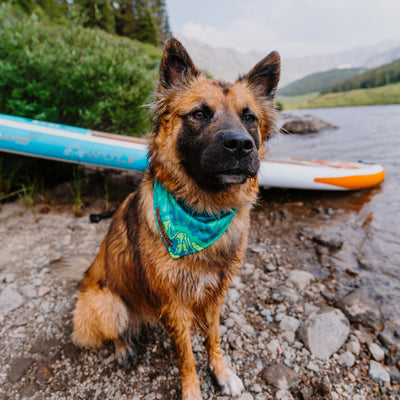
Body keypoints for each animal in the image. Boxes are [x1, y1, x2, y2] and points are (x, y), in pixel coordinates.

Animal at [73, 38, 280, 400]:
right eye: (199, 113)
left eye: (250, 118)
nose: (241, 145)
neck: (203, 211)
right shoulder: (174, 304)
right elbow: (185, 355)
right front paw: (192, 389)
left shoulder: (214, 294)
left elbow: (213, 337)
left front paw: (221, 371)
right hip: (107, 303)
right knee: (117, 330)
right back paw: (124, 348)